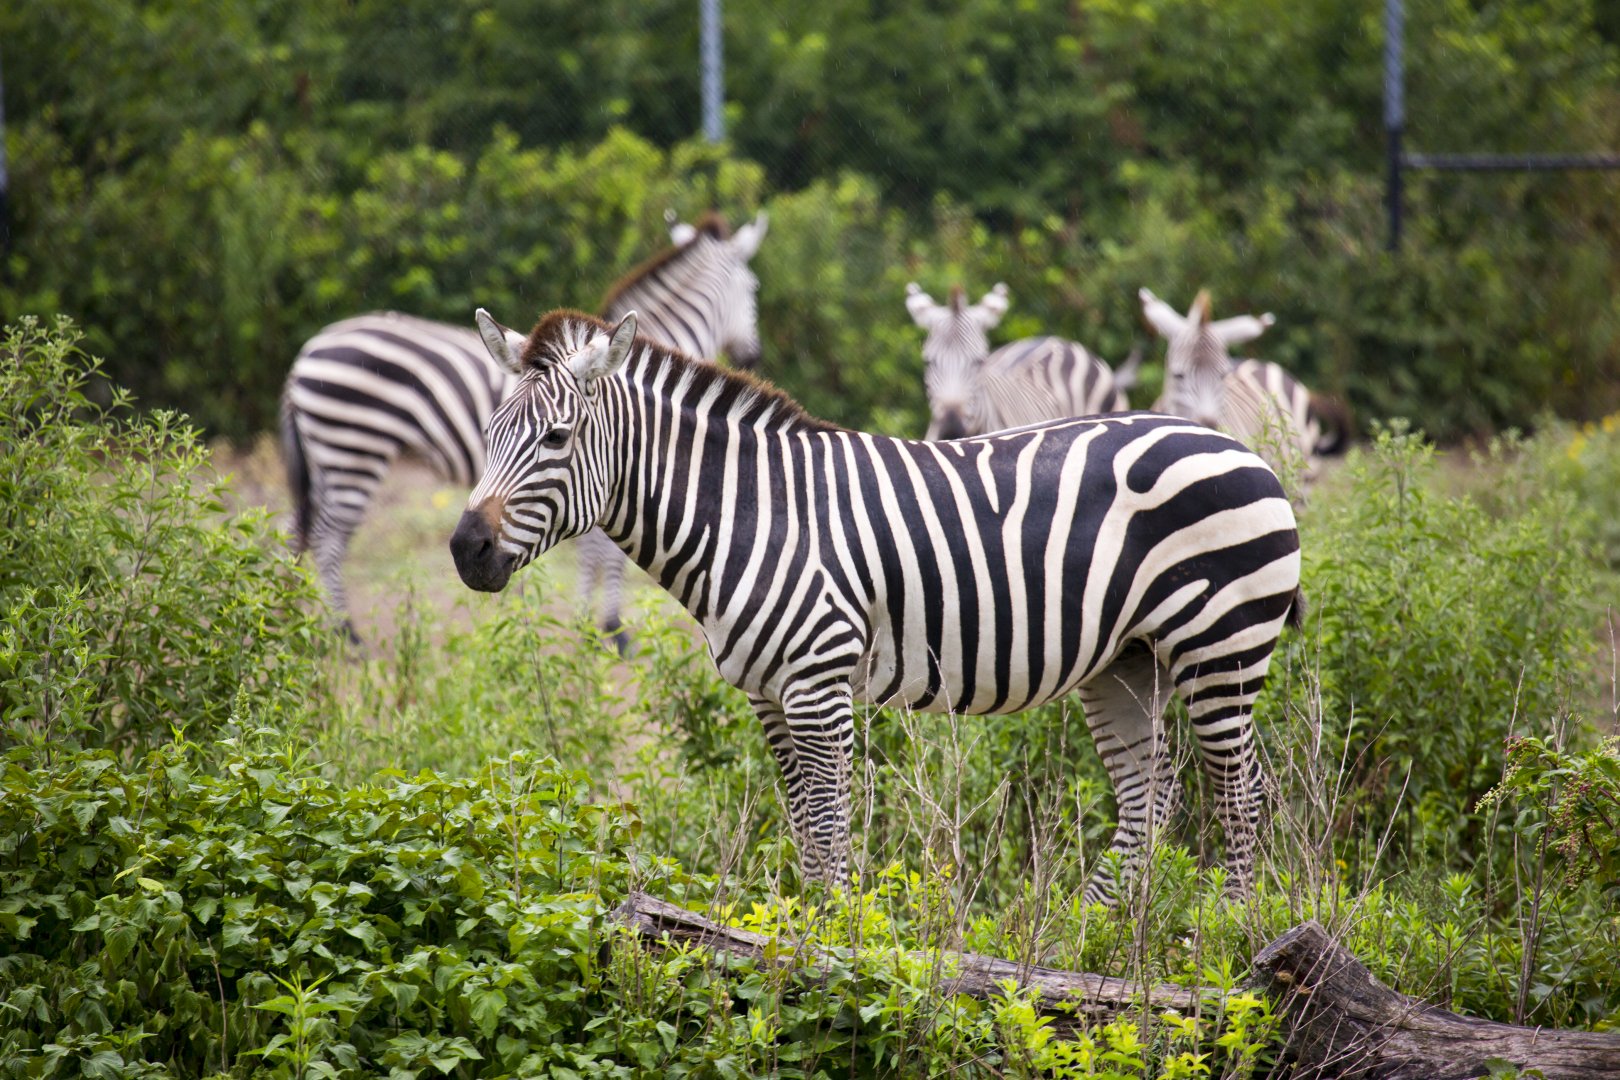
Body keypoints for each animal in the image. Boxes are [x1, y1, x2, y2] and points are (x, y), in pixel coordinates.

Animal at [280, 211, 768, 643]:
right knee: (327, 537)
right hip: (354, 449)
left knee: (294, 530)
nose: (753, 356)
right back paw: (345, 631)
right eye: (753, 288)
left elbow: (592, 551)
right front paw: (611, 629)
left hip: (328, 454)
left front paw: (588, 624)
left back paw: (295, 620)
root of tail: (305, 352)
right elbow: (606, 556)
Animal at [450, 307, 1303, 900]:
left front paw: (833, 945)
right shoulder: (768, 693)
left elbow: (830, 828)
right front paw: (808, 930)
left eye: (557, 438)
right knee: (1149, 795)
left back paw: (1221, 933)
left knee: (1243, 793)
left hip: (1219, 646)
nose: (466, 548)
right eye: (489, 433)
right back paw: (1095, 932)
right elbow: (805, 825)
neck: (751, 514)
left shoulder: (818, 682)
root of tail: (1238, 446)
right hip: (1125, 661)